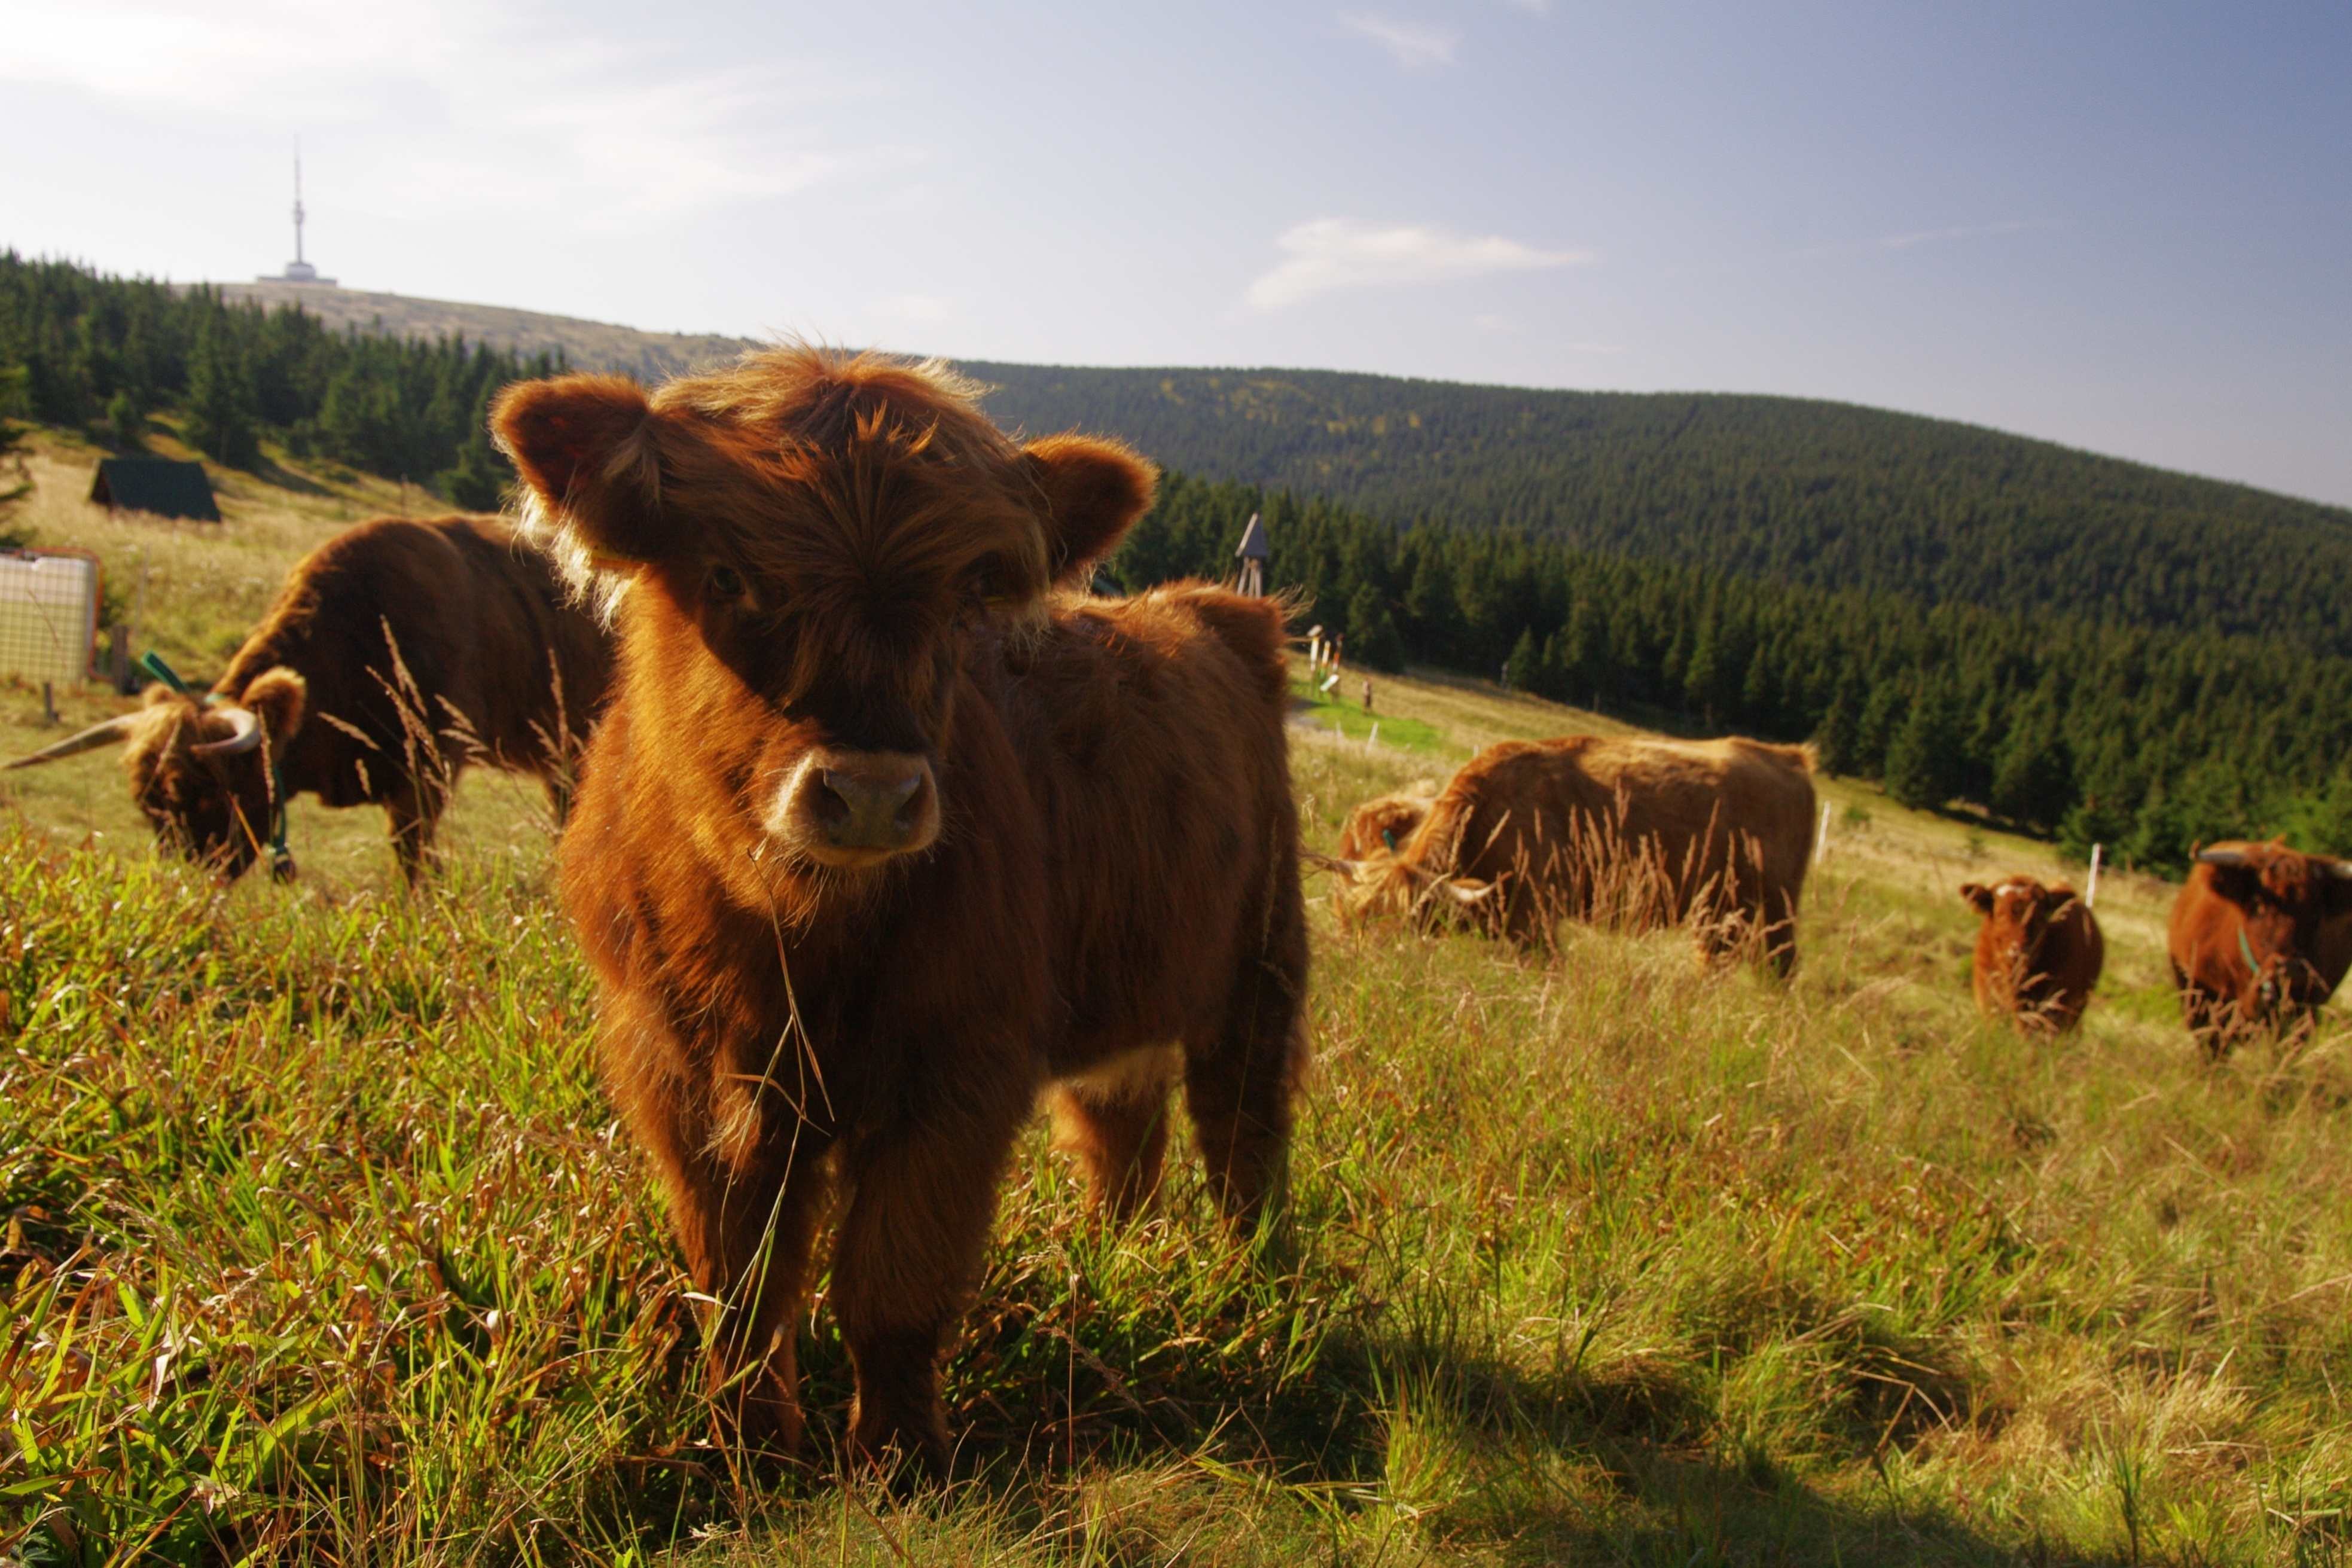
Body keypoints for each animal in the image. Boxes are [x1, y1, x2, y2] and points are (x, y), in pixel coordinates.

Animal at [489, 345, 1317, 1485]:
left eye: (966, 595)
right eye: (729, 574)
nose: (873, 792)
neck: (787, 942)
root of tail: (1218, 613)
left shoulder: (960, 1069)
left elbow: (891, 1287)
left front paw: (901, 1463)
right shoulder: (677, 1065)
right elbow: (740, 1285)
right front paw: (748, 1451)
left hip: (1259, 973)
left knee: (1244, 1147)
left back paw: (1250, 1295)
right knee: (1122, 1140)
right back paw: (1109, 1259)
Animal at [1335, 733, 1806, 973]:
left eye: (1409, 925)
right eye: (1354, 922)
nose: (1364, 966)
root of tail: (1788, 755)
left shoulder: (1536, 918)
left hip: (1778, 909)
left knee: (1779, 966)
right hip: (1718, 910)